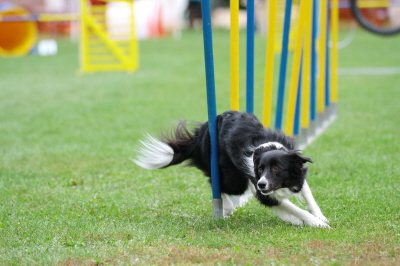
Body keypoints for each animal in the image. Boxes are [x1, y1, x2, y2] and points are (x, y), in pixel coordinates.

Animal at [133, 111, 330, 228]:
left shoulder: (296, 175)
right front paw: (316, 222)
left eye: (276, 168)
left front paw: (320, 217)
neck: (267, 146)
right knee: (216, 183)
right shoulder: (263, 193)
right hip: (232, 177)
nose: (262, 184)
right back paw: (226, 208)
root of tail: (199, 135)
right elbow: (294, 208)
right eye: (260, 168)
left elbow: (308, 196)